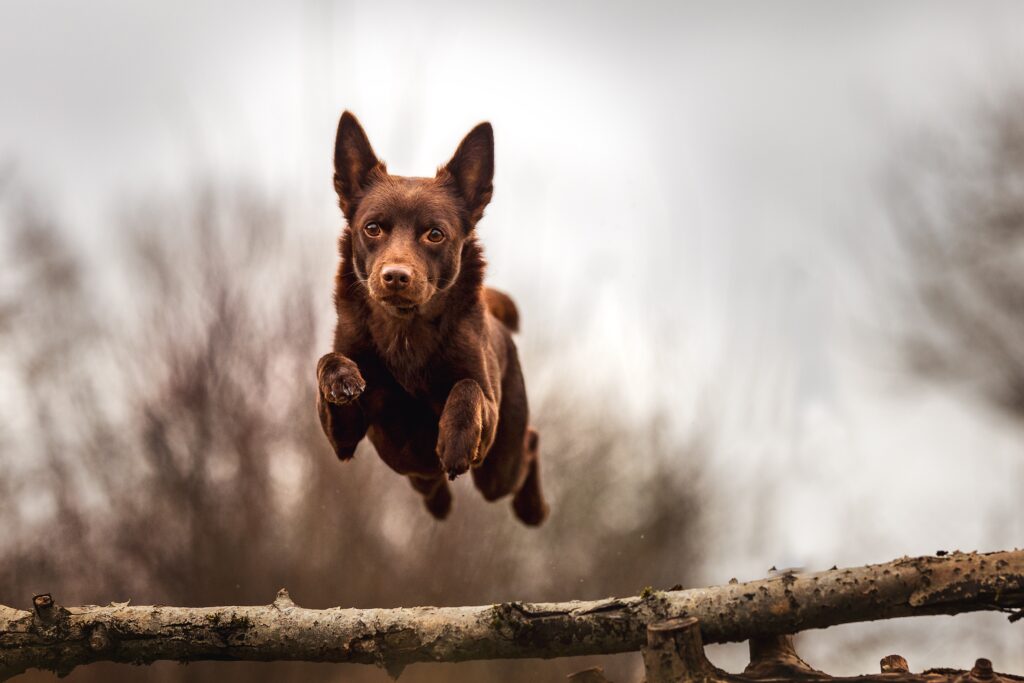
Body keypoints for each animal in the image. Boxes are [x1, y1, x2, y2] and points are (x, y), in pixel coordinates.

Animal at [315, 113, 548, 528]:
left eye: (435, 234)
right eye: (372, 228)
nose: (395, 276)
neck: (405, 331)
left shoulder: (487, 412)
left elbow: (468, 388)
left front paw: (455, 442)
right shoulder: (345, 435)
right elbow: (326, 361)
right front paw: (342, 378)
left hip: (499, 466)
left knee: (530, 442)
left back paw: (532, 509)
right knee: (427, 482)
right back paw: (439, 504)